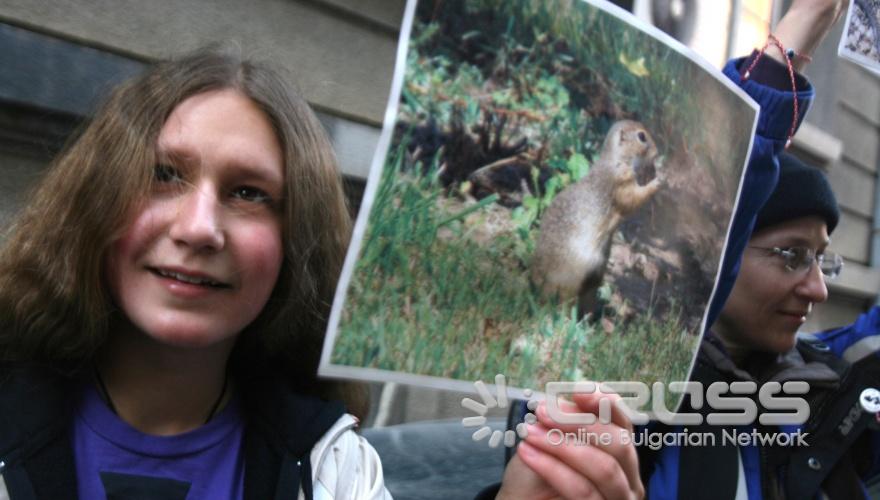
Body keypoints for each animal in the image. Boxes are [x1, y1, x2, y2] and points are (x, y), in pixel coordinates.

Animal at [528, 119, 660, 316]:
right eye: (642, 136)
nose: (657, 152)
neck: (615, 160)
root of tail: (540, 277)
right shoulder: (620, 183)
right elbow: (633, 198)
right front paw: (658, 181)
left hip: (595, 276)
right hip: (574, 276)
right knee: (564, 300)